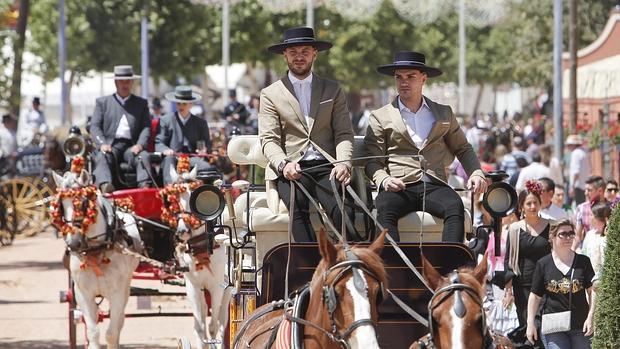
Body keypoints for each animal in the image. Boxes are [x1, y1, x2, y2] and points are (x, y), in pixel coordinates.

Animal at [51, 171, 141, 348]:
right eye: (61, 206)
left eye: (84, 203)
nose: (73, 243)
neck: (96, 249)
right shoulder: (83, 294)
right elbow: (93, 332)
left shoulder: (117, 293)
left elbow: (112, 334)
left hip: (125, 287)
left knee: (119, 321)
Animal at [168, 167, 231, 348]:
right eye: (172, 201)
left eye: (191, 197)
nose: (182, 231)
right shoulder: (193, 287)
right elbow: (200, 327)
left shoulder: (218, 287)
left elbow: (213, 326)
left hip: (227, 292)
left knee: (222, 322)